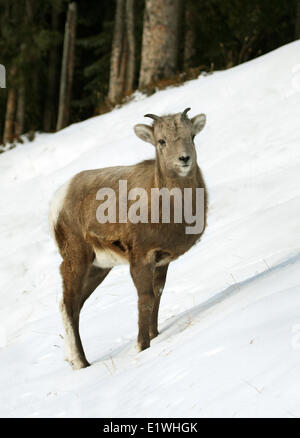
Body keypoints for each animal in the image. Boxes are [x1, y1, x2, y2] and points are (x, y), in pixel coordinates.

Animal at [50, 107, 207, 370]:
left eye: (192, 136)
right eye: (161, 141)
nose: (184, 159)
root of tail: (59, 199)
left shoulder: (161, 261)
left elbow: (157, 293)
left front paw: (155, 334)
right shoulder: (140, 259)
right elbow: (145, 299)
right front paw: (143, 346)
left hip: (98, 268)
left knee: (75, 305)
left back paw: (73, 360)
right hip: (76, 261)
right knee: (68, 304)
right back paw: (81, 363)